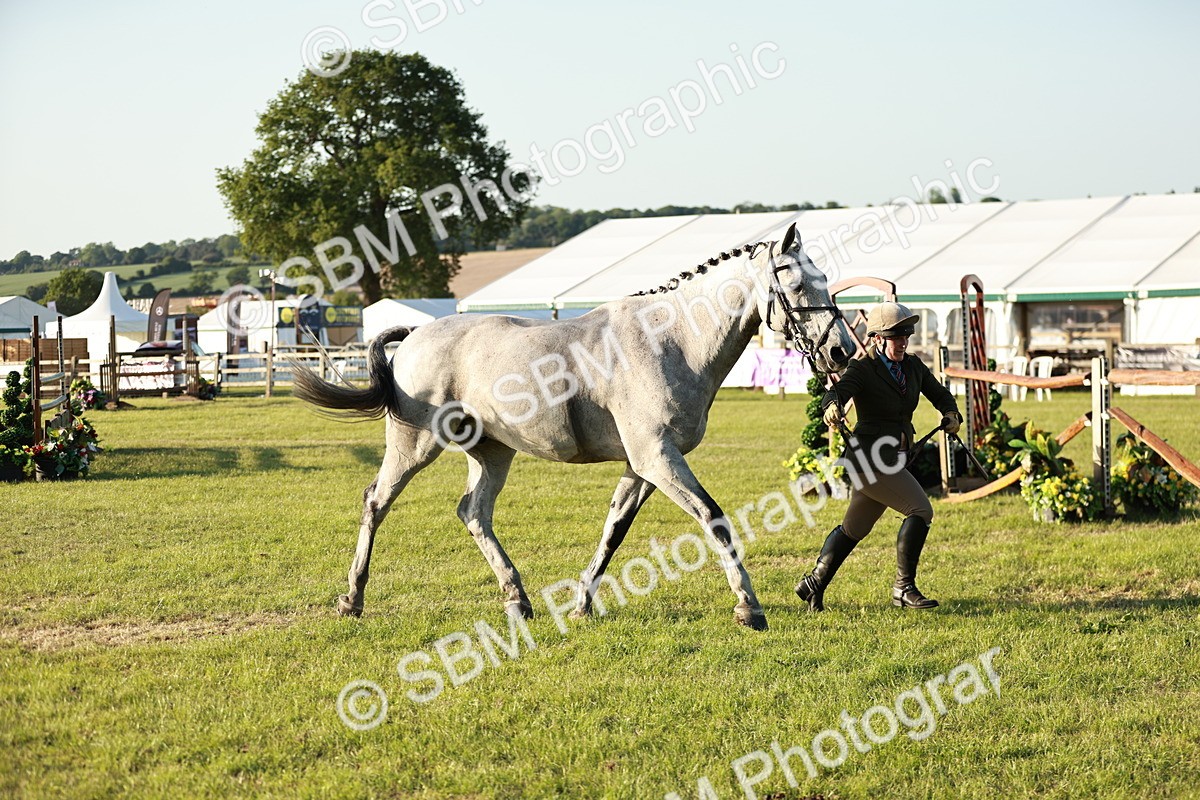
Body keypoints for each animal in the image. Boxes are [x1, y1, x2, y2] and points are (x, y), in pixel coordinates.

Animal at [292, 222, 855, 631]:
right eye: (799, 284)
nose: (842, 351)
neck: (671, 339)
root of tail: (415, 334)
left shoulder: (642, 464)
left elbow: (614, 531)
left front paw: (583, 602)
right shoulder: (658, 457)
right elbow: (712, 518)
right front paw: (748, 607)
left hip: (493, 452)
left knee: (473, 512)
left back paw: (517, 600)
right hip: (414, 445)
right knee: (376, 502)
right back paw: (353, 598)